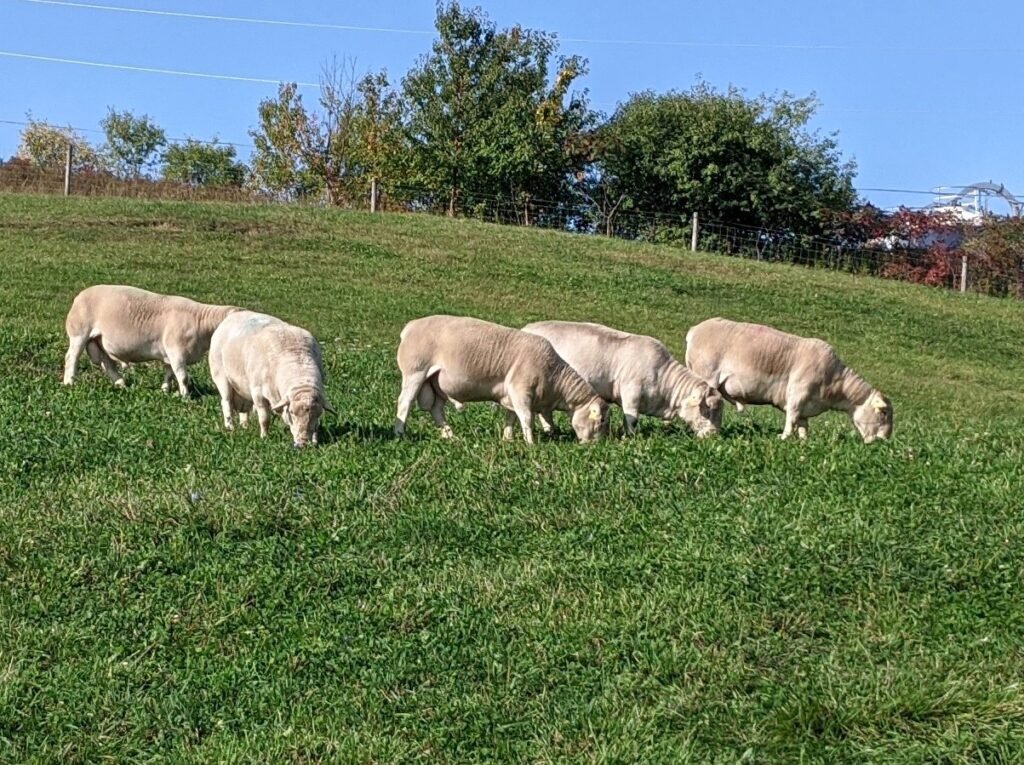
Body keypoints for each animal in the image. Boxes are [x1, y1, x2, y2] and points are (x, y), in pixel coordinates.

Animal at [64, 286, 237, 395]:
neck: (200, 321)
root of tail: (79, 296)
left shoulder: (170, 355)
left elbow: (169, 374)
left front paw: (165, 390)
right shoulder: (176, 351)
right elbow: (183, 377)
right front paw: (186, 397)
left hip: (99, 341)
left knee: (107, 362)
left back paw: (120, 384)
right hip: (79, 332)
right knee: (71, 358)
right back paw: (69, 383)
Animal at [207, 307, 335, 446]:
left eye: (318, 414)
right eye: (292, 412)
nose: (303, 443)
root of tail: (233, 315)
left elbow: (316, 425)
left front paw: (315, 440)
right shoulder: (258, 393)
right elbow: (264, 418)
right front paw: (264, 437)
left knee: (244, 409)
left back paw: (244, 426)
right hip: (221, 375)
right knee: (226, 402)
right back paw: (230, 427)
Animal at [393, 315, 606, 442]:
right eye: (601, 421)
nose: (599, 445)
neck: (555, 379)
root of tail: (410, 326)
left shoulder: (511, 395)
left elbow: (511, 417)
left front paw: (507, 438)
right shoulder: (520, 390)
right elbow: (526, 418)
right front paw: (531, 443)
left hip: (436, 383)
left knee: (436, 409)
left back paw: (449, 435)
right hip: (416, 371)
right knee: (405, 402)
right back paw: (400, 432)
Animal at [520, 317, 720, 436]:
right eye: (709, 409)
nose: (714, 435)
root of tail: (526, 328)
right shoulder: (631, 391)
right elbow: (631, 418)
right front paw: (628, 437)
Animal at [684, 315, 892, 440]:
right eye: (883, 413)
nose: (885, 439)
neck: (836, 384)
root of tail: (695, 330)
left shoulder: (806, 405)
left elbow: (802, 424)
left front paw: (804, 441)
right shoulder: (797, 394)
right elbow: (791, 418)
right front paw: (783, 438)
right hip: (707, 375)